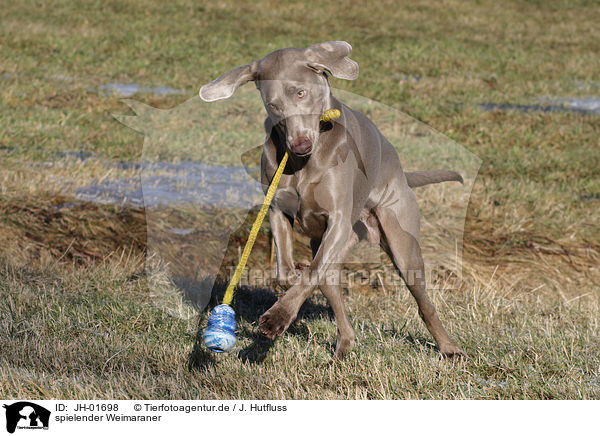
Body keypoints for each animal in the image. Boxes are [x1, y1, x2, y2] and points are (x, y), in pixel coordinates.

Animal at [199, 42, 466, 360]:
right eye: (273, 105)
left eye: (301, 93)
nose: (300, 144)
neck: (304, 163)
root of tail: (402, 173)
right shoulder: (277, 209)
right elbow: (287, 268)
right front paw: (287, 285)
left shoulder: (338, 220)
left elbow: (310, 273)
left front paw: (278, 317)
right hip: (338, 242)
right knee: (330, 283)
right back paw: (342, 348)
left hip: (400, 241)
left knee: (423, 300)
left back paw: (449, 348)